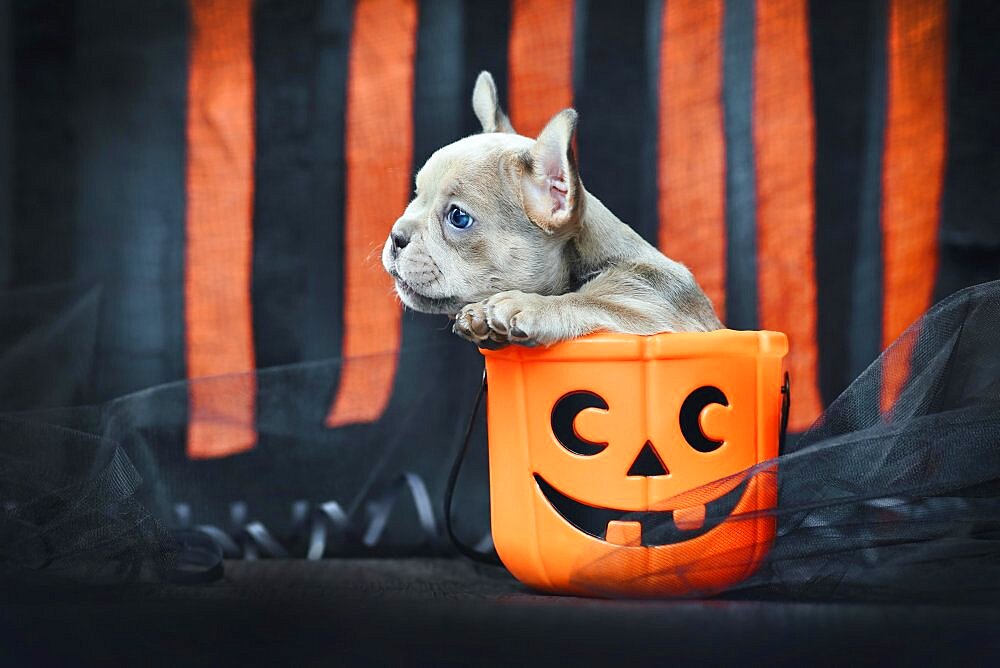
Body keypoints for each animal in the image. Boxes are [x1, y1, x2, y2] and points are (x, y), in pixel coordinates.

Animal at [380, 70, 720, 348]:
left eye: (458, 217)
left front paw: (529, 305)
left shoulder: (655, 307)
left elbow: (592, 302)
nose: (396, 235)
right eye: (416, 195)